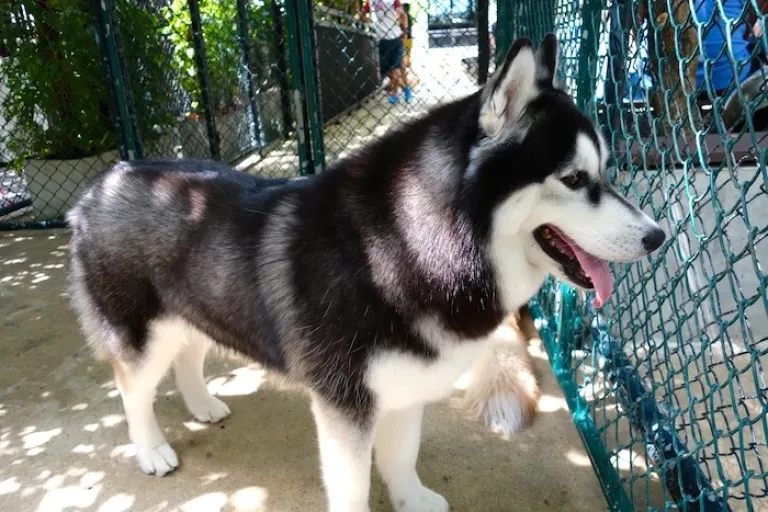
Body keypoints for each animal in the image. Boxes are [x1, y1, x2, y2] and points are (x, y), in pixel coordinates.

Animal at [66, 34, 665, 512]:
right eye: (574, 178)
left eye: (605, 171)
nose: (657, 237)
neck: (409, 244)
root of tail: (103, 181)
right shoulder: (344, 407)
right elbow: (352, 488)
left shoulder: (403, 389)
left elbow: (402, 457)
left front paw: (412, 500)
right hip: (141, 334)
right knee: (133, 389)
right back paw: (151, 449)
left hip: (194, 311)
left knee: (188, 355)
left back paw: (203, 406)